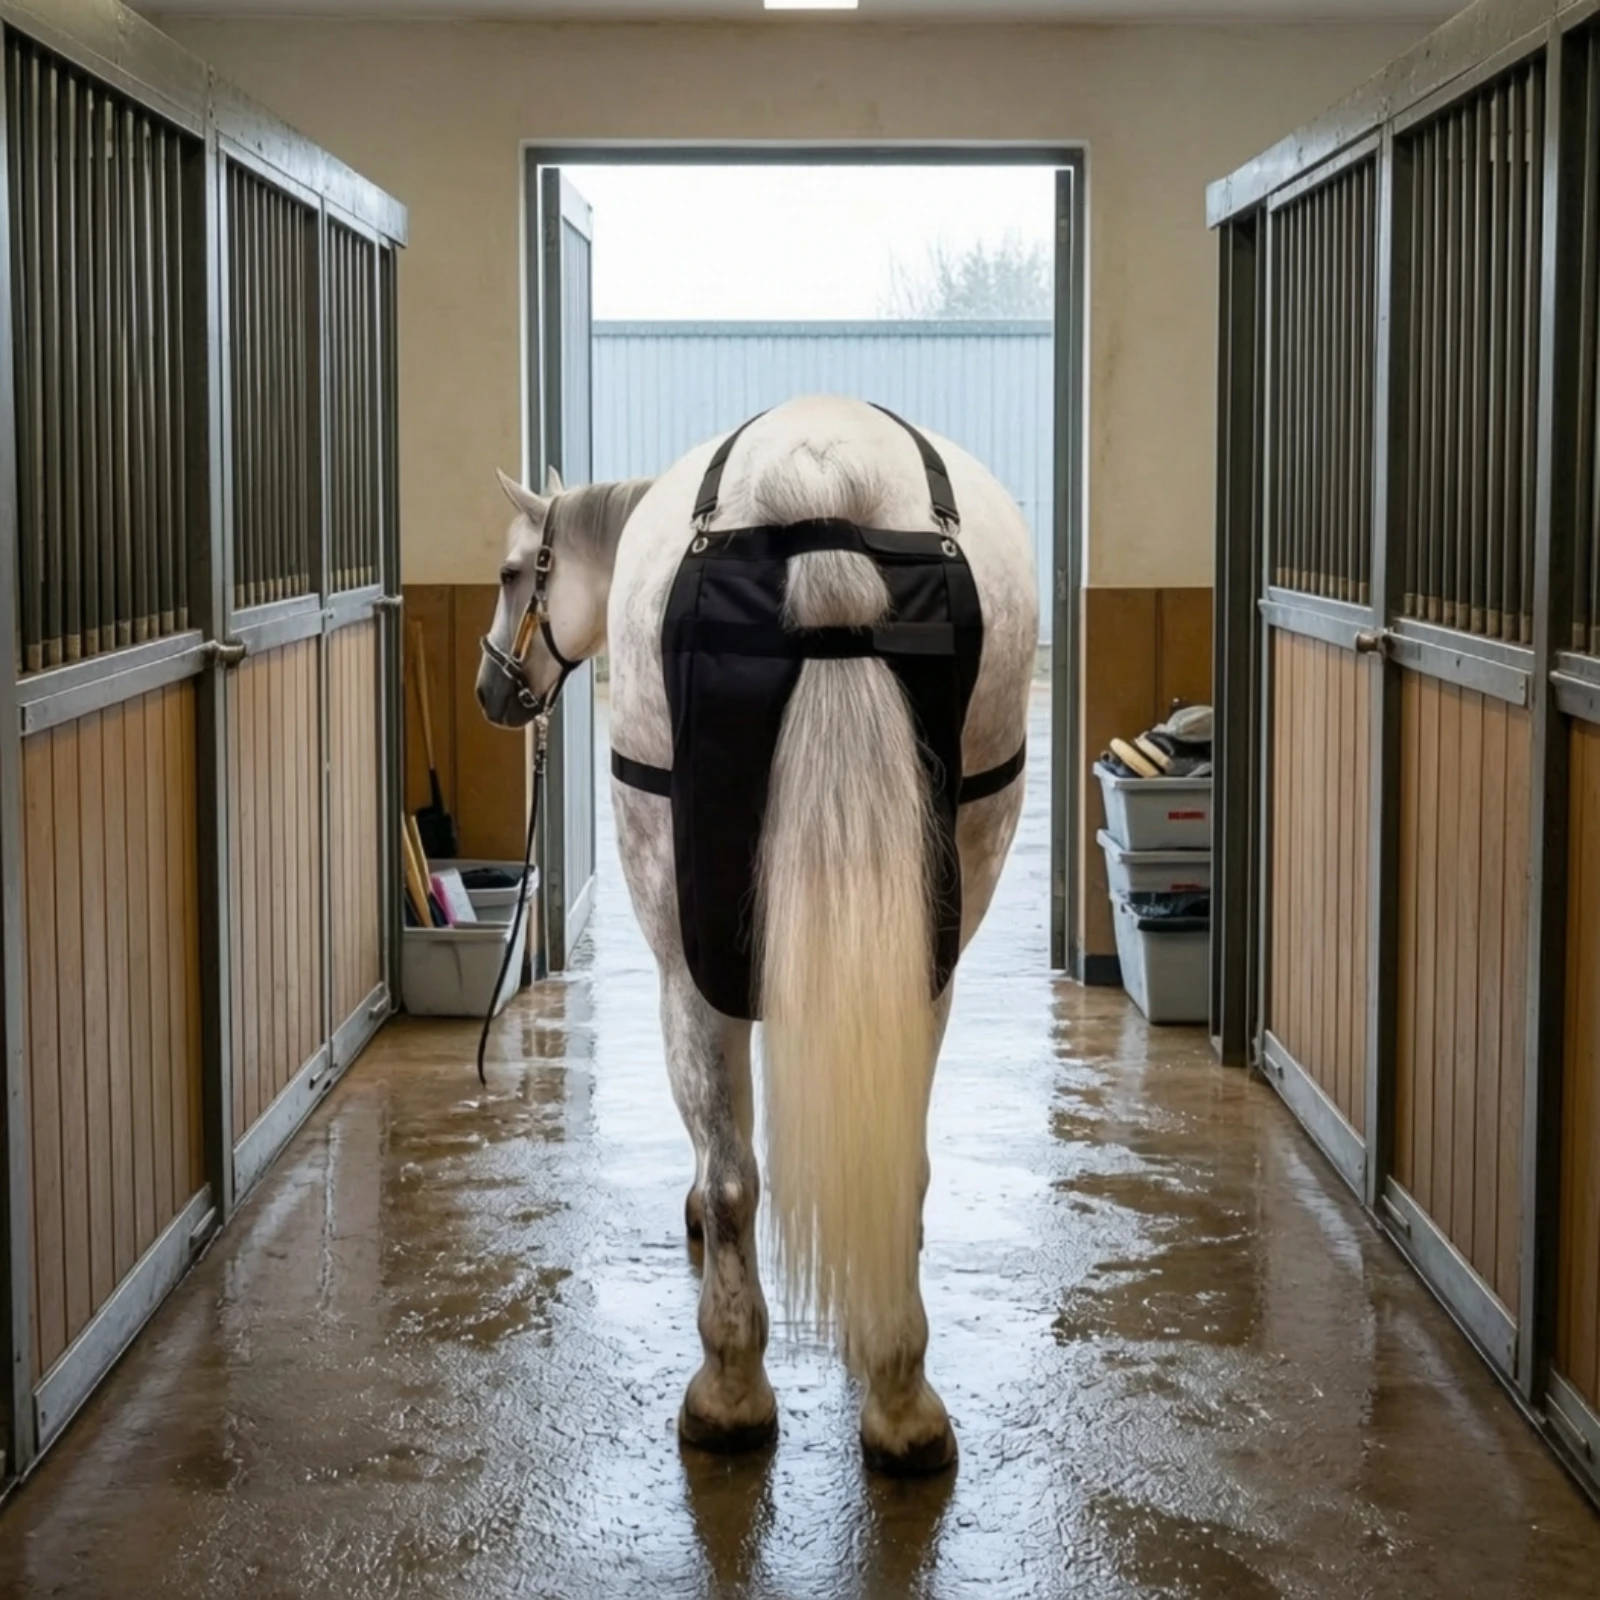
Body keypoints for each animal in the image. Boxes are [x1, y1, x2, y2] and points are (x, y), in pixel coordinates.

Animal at [476, 395, 1038, 1475]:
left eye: (515, 570)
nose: (494, 693)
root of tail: (817, 478)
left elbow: (724, 1161)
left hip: (683, 952)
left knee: (733, 1174)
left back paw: (729, 1393)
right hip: (931, 939)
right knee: (896, 1156)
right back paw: (899, 1393)